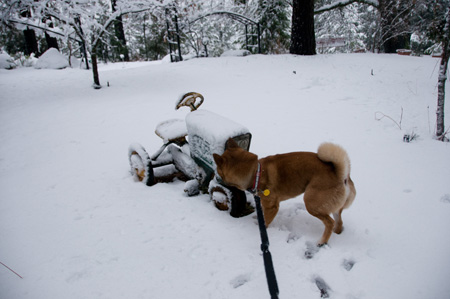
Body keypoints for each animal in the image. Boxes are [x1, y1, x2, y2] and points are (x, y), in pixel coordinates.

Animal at [213, 139, 356, 247]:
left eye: (218, 169)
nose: (215, 177)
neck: (256, 172)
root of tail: (342, 175)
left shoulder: (272, 207)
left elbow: (265, 222)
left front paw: (258, 229)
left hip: (311, 203)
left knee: (330, 222)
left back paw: (321, 241)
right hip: (332, 207)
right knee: (338, 222)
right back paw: (337, 233)